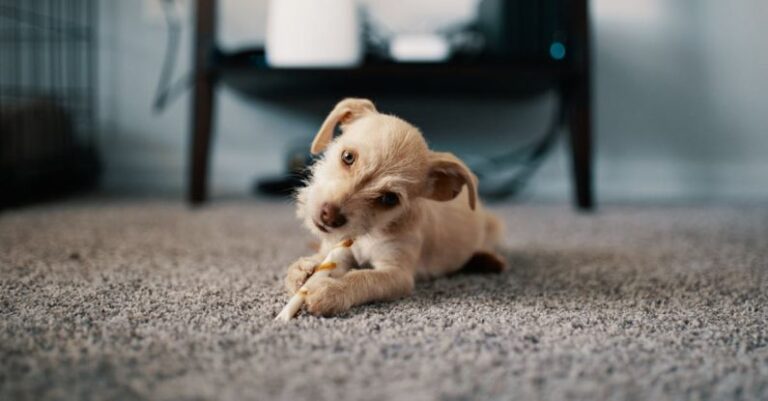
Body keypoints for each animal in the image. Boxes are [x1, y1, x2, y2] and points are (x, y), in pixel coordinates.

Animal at [284, 97, 508, 316]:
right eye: (347, 157)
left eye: (389, 199)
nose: (329, 216)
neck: (370, 233)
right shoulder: (340, 250)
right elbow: (322, 260)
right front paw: (303, 269)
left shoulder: (397, 274)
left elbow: (363, 278)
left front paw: (331, 290)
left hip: (494, 227)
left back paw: (488, 260)